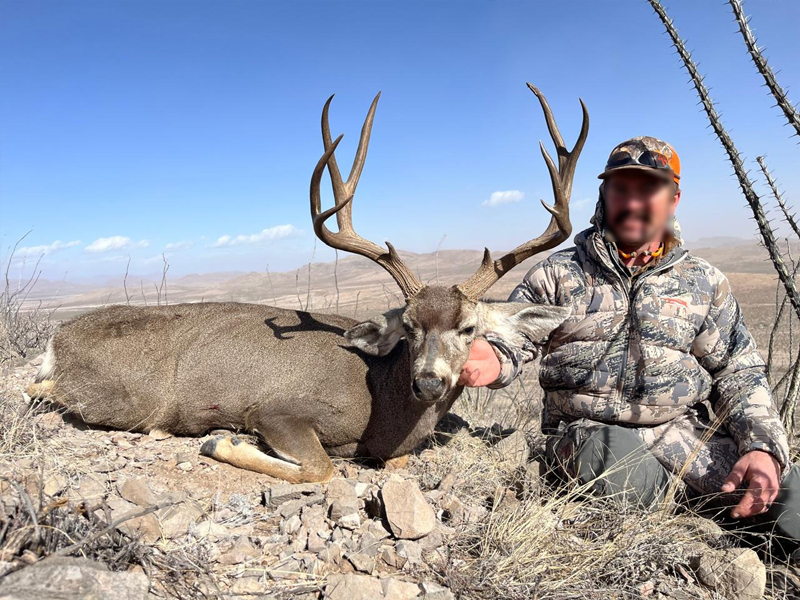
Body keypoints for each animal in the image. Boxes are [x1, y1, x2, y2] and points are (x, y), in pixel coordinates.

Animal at [26, 84, 588, 483]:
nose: (428, 382)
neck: (382, 409)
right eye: (407, 326)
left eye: (469, 328)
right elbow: (321, 469)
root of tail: (58, 336)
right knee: (37, 387)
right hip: (123, 397)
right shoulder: (277, 409)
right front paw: (220, 441)